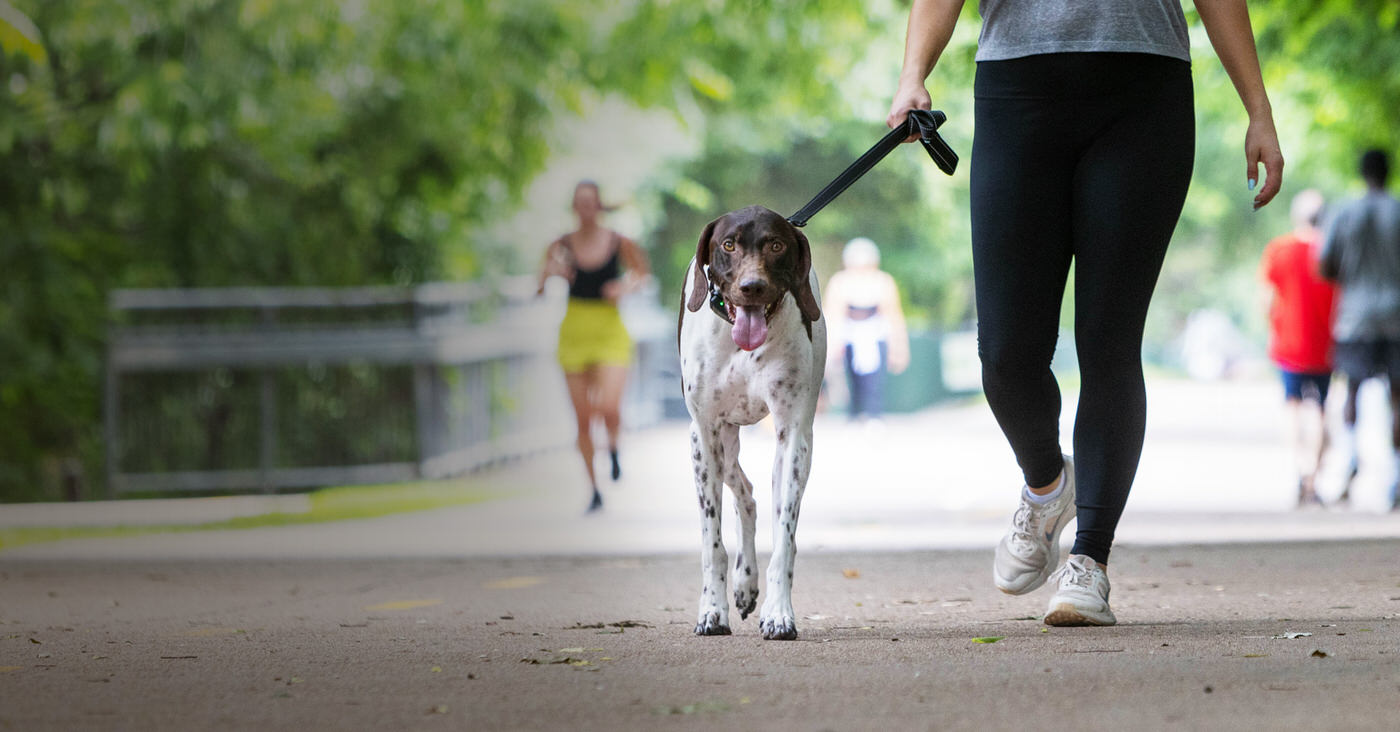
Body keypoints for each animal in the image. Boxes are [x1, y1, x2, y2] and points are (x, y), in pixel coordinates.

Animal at [680, 205, 823, 641]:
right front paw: (712, 611)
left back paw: (749, 584)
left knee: (757, 497)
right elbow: (712, 544)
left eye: (776, 245)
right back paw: (742, 583)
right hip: (721, 446)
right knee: (744, 492)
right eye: (728, 244)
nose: (752, 287)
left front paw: (779, 614)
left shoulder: (794, 437)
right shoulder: (704, 436)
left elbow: (785, 541)